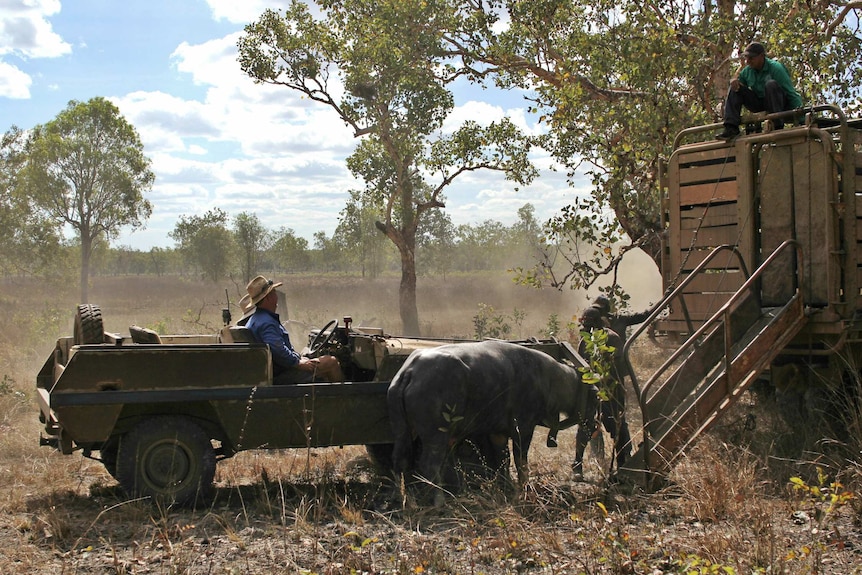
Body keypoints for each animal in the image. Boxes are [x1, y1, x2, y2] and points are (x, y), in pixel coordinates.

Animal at [388, 340, 596, 498]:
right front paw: (524, 488)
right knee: (429, 464)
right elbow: (521, 461)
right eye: (594, 394)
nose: (593, 424)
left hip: (402, 431)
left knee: (400, 460)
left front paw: (505, 486)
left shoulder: (498, 433)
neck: (547, 378)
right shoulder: (523, 428)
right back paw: (439, 500)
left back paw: (403, 499)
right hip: (436, 435)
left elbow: (502, 459)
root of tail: (410, 371)